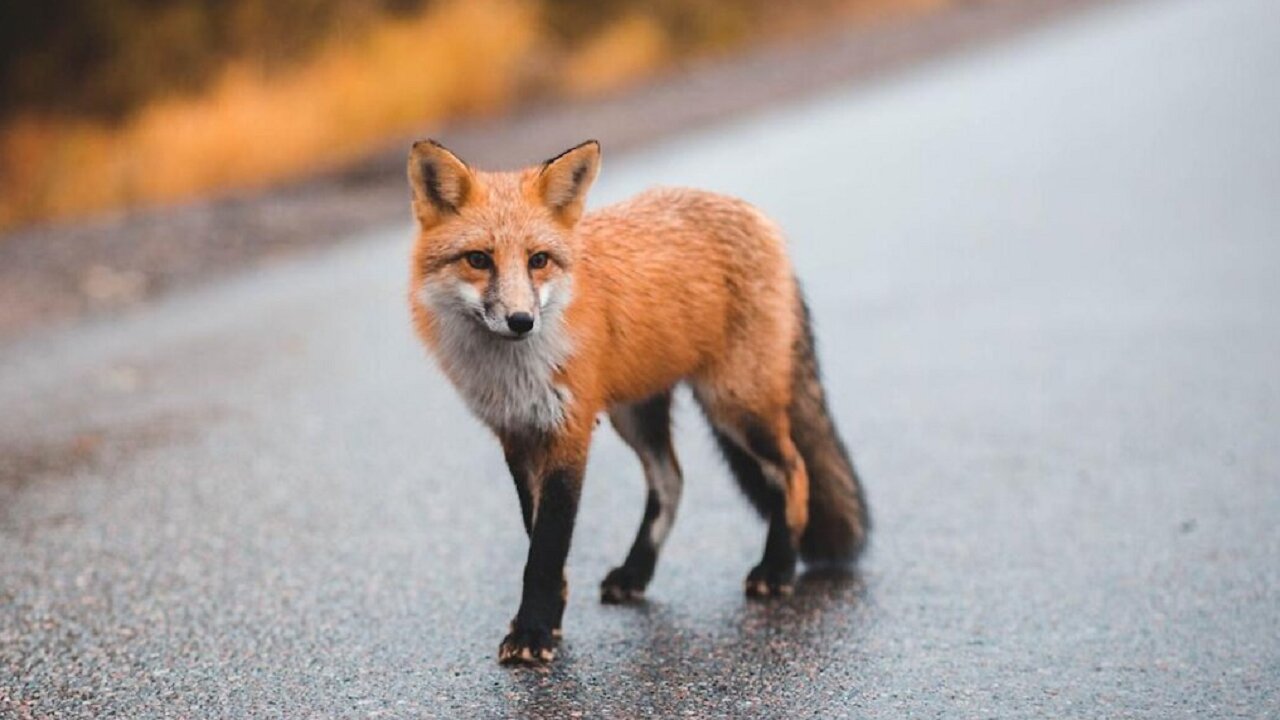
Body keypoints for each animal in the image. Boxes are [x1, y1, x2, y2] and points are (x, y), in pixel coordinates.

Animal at [409, 139, 870, 661]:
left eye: (538, 260)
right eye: (479, 260)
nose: (522, 321)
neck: (514, 371)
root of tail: (756, 215)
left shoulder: (569, 431)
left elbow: (547, 546)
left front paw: (533, 631)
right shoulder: (517, 434)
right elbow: (537, 538)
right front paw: (550, 617)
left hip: (735, 405)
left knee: (793, 471)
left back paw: (777, 568)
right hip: (636, 414)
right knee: (671, 481)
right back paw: (636, 573)